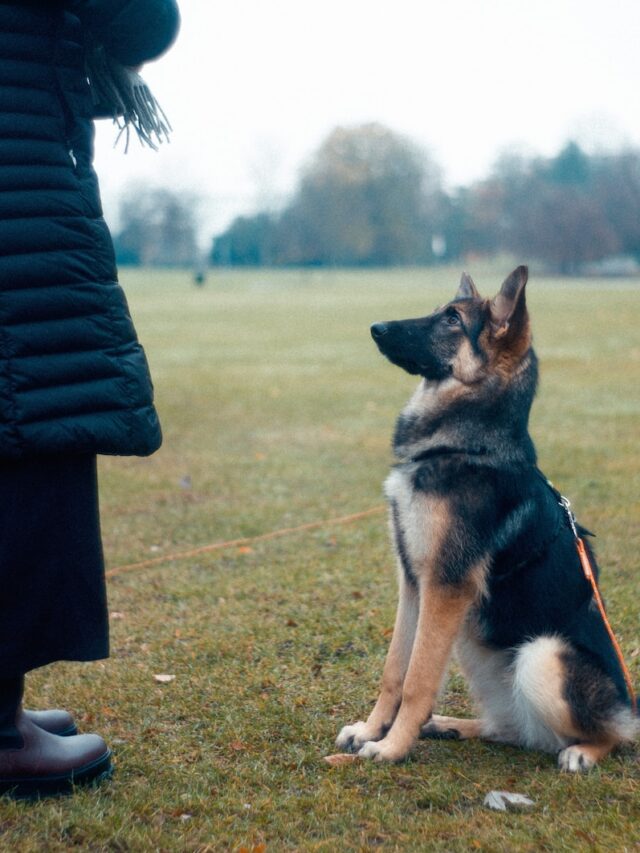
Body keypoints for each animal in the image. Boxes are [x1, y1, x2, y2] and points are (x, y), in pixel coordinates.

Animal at [338, 268, 636, 772]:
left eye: (452, 319)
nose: (376, 327)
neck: (465, 446)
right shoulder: (414, 582)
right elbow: (395, 669)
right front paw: (370, 731)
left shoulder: (445, 586)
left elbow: (417, 680)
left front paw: (392, 747)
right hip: (473, 642)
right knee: (513, 730)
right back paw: (451, 725)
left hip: (540, 654)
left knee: (609, 734)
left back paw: (582, 751)